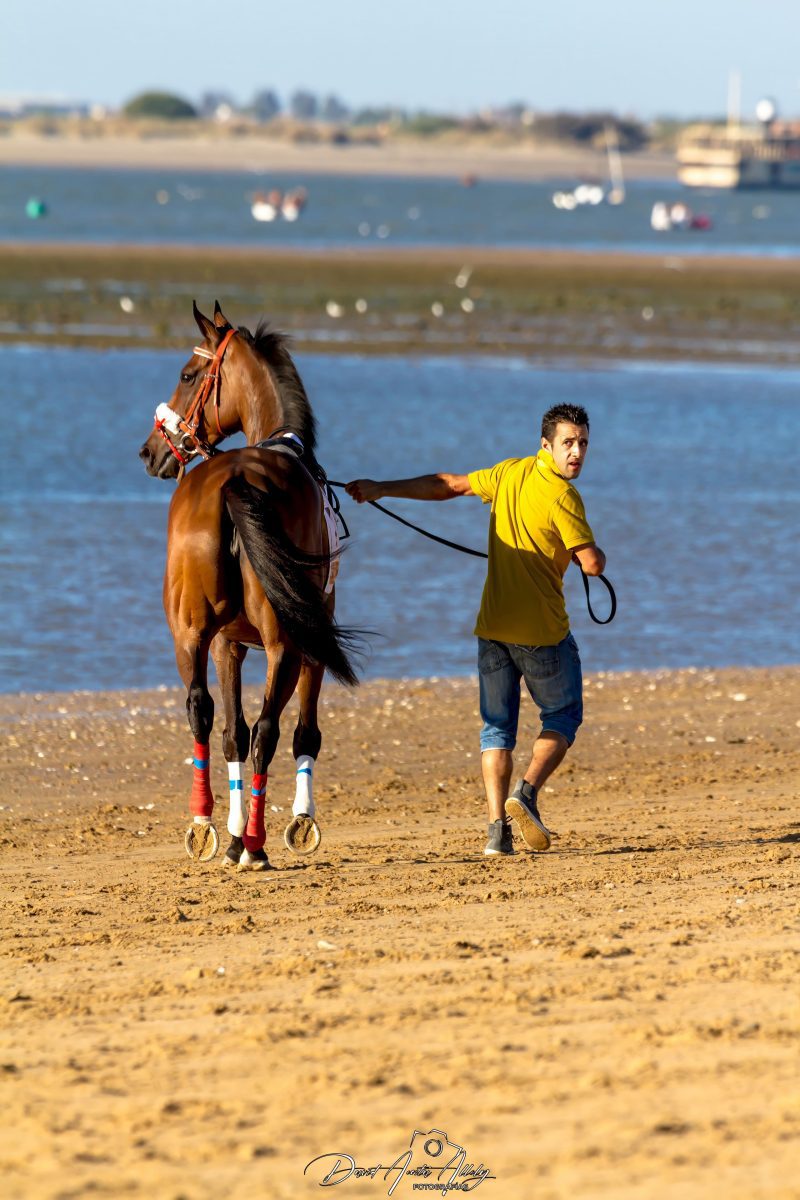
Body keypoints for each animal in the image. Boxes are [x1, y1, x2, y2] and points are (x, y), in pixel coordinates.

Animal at [139, 302, 358, 870]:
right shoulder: (309, 645)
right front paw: (296, 822)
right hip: (285, 644)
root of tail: (235, 480)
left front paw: (233, 833)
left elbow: (231, 732)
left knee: (203, 713)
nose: (149, 451)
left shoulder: (226, 643)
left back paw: (206, 826)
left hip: (191, 634)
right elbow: (299, 733)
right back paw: (256, 844)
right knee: (268, 731)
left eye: (187, 375)